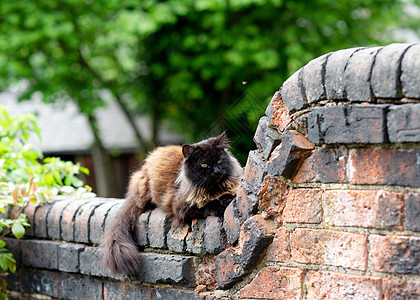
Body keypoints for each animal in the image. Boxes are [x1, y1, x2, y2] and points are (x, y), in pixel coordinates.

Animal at [99, 132, 243, 276]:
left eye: (219, 161)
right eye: (204, 165)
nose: (217, 171)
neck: (215, 189)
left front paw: (228, 198)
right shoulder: (182, 208)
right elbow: (208, 205)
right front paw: (223, 203)